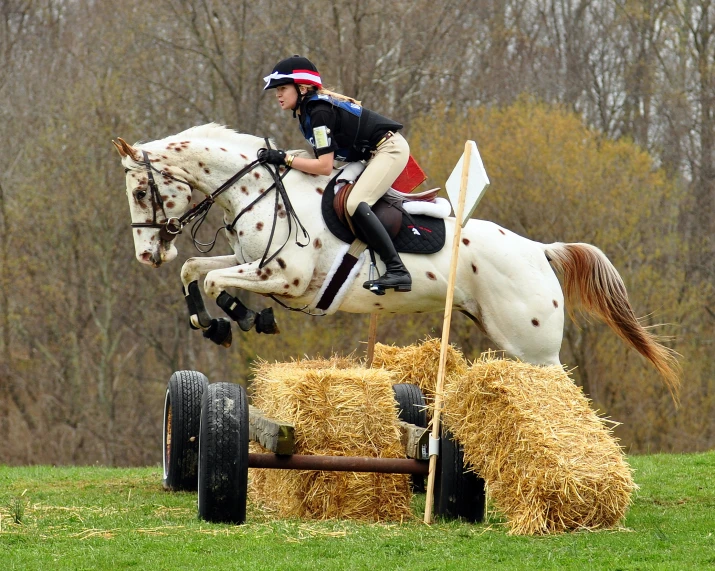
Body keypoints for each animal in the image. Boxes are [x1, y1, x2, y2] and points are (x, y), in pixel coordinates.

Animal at [113, 123, 684, 400]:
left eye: (142, 191)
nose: (146, 255)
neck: (260, 191)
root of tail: (539, 250)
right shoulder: (254, 263)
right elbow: (195, 272)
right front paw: (213, 322)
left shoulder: (289, 278)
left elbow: (217, 284)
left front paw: (242, 319)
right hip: (515, 342)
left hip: (535, 348)